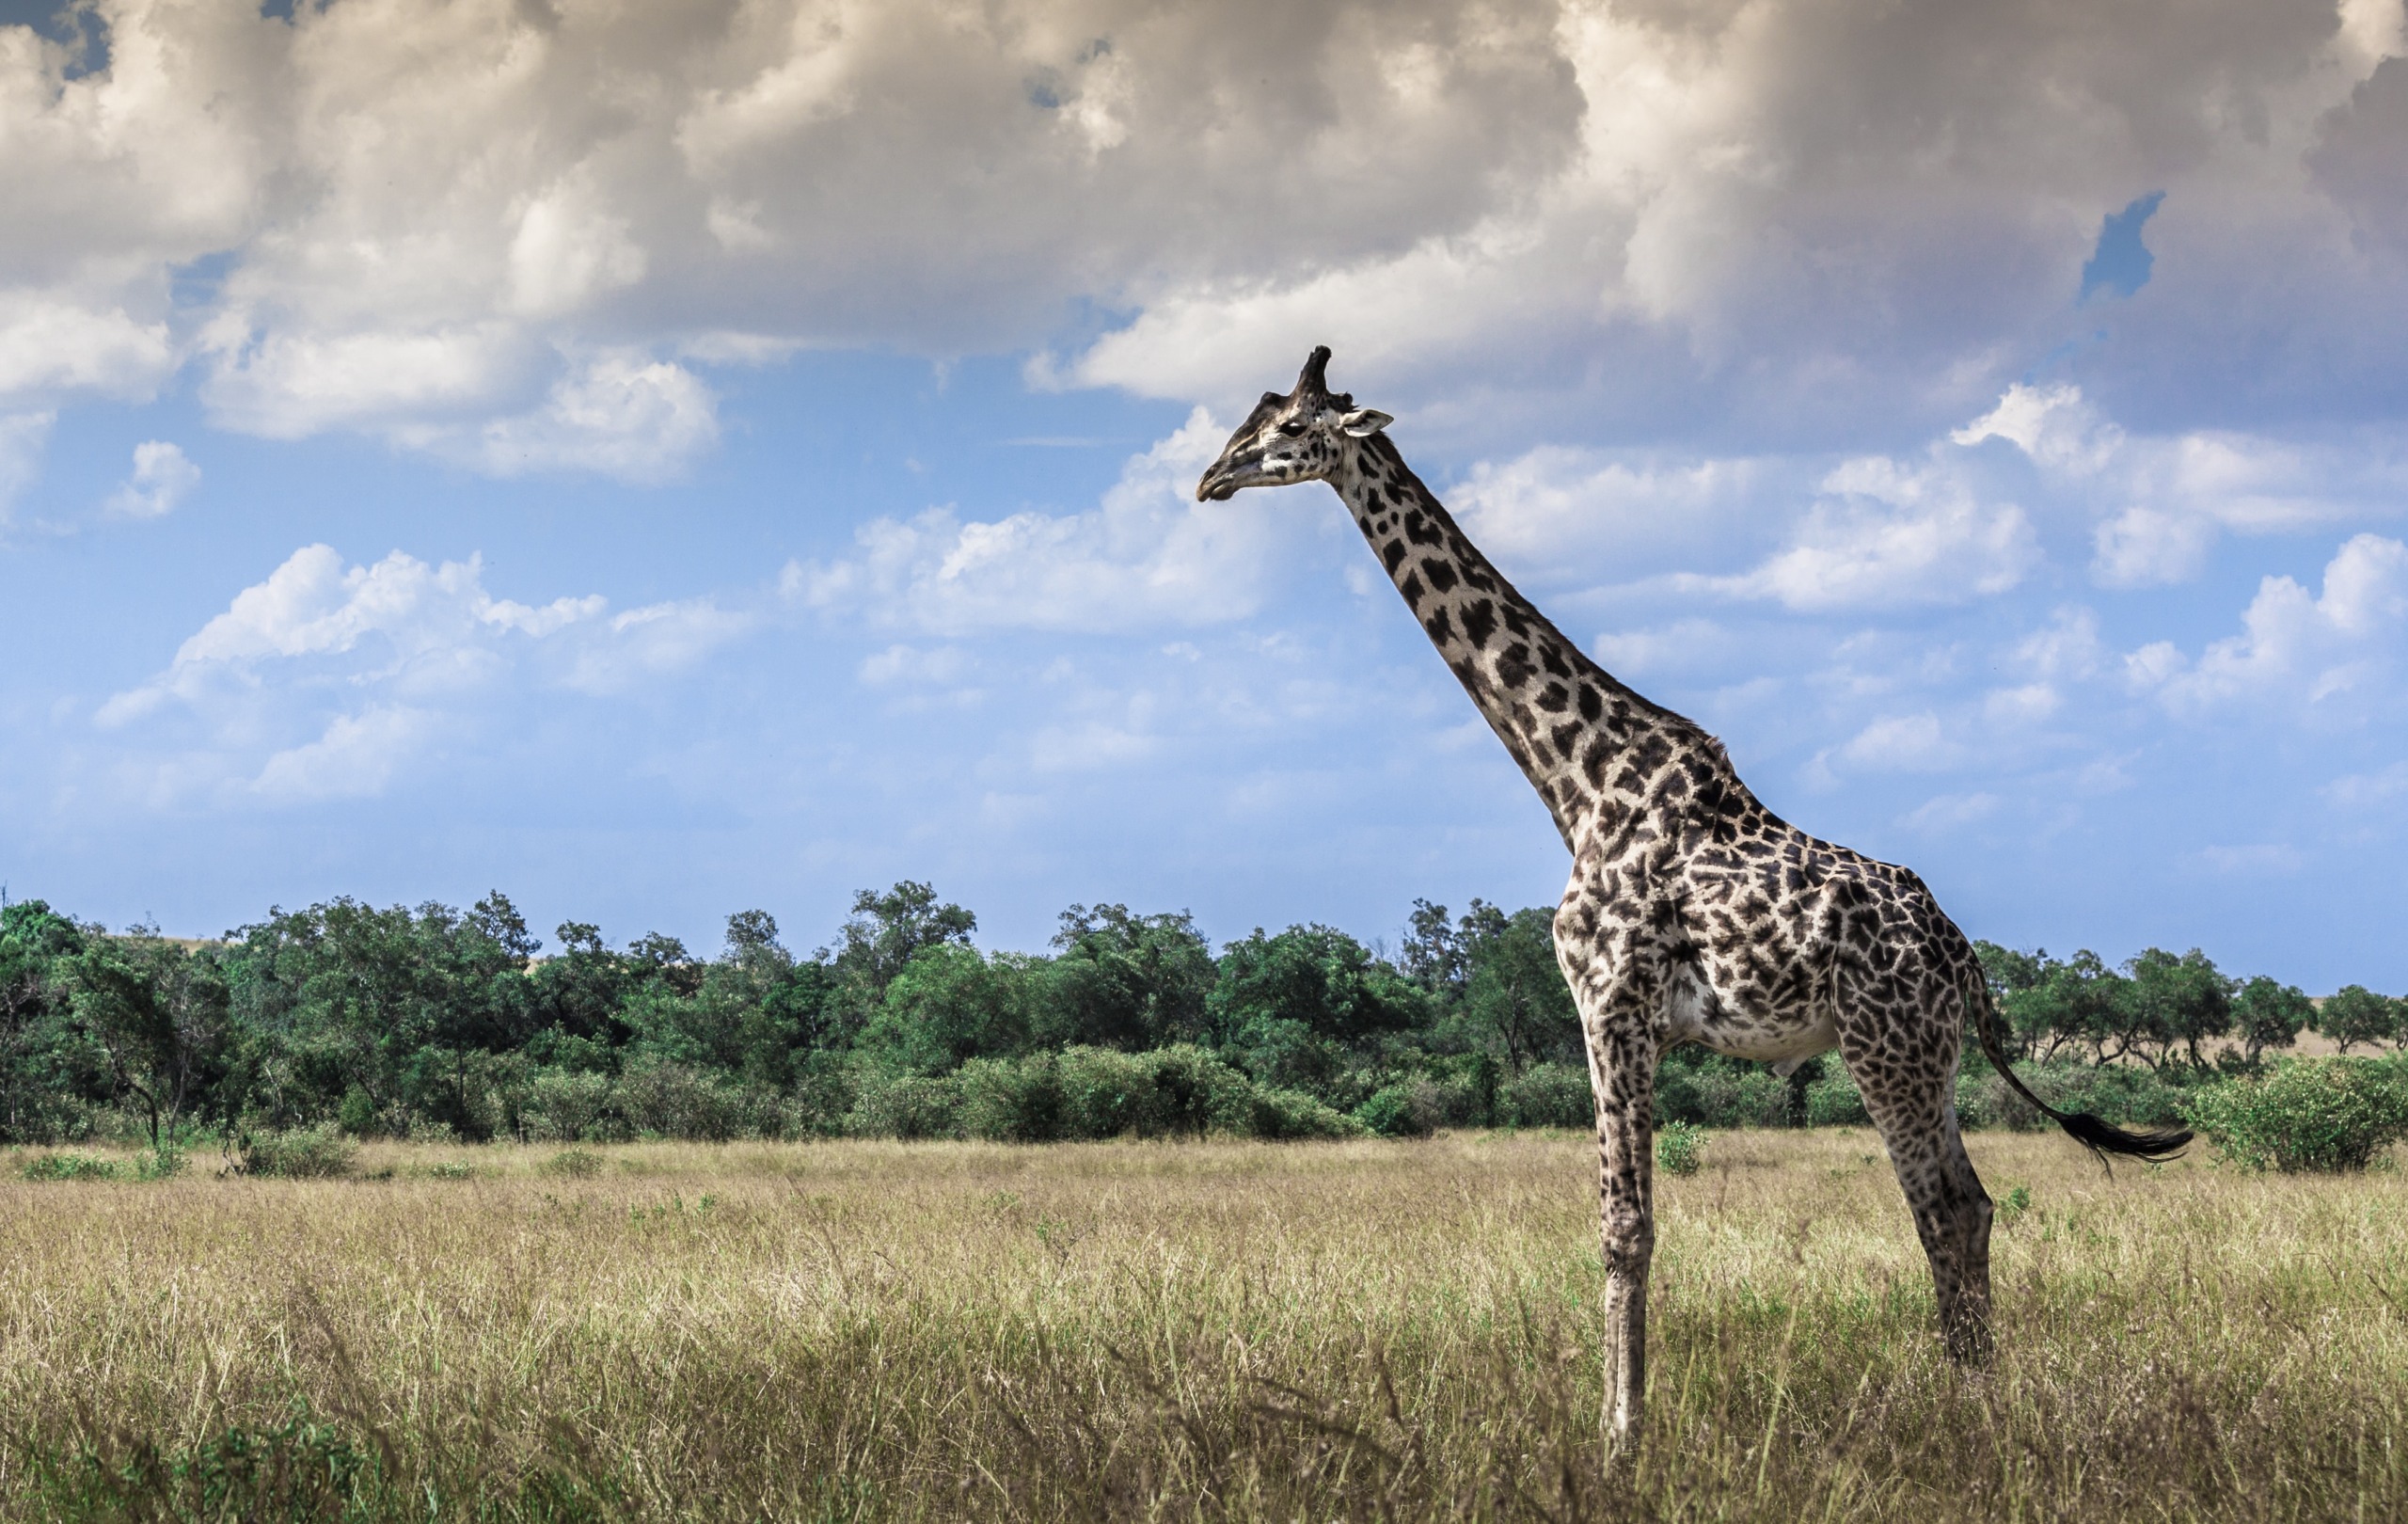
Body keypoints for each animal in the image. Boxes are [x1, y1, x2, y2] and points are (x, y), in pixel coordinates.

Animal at [1194, 343, 2195, 1453]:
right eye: (1252, 421)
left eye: (1289, 430)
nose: (1209, 479)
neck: (1576, 782)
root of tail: (1965, 962)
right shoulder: (1625, 1018)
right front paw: (1618, 1425)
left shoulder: (1611, 1006)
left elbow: (1624, 1227)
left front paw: (1620, 1440)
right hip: (1921, 1056)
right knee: (1970, 1206)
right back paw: (1975, 1395)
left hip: (1883, 1047)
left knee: (1938, 1207)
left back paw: (1963, 1407)